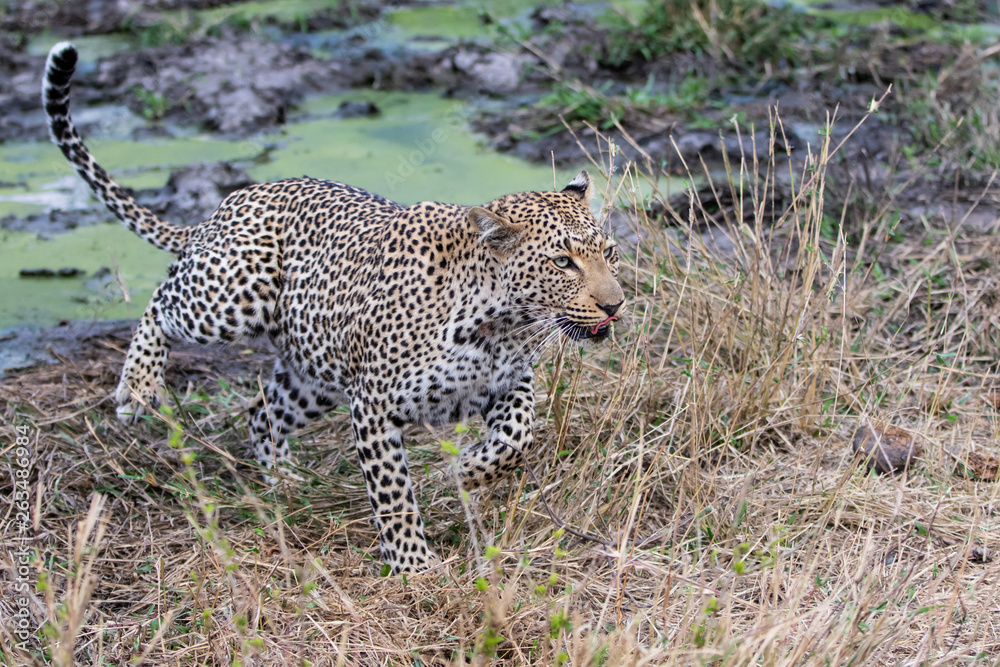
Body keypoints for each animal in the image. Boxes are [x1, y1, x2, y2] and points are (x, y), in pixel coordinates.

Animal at [43, 41, 625, 573]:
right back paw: (138, 388)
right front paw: (414, 567)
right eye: (563, 262)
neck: (499, 323)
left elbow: (516, 438)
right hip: (234, 294)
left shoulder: (506, 383)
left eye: (610, 252)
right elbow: (393, 494)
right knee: (162, 300)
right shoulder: (374, 404)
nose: (615, 305)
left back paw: (285, 483)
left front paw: (462, 473)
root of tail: (226, 206)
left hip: (313, 375)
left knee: (260, 414)